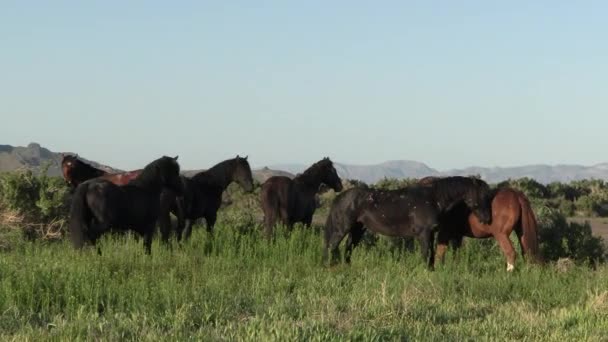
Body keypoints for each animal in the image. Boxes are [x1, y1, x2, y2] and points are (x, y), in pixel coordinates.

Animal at [324, 176, 494, 270]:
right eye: (482, 196)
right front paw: (426, 272)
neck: (434, 198)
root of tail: (340, 198)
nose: (487, 219)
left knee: (348, 248)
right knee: (333, 246)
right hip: (342, 229)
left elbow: (431, 254)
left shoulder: (430, 234)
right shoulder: (424, 234)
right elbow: (426, 254)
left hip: (358, 229)